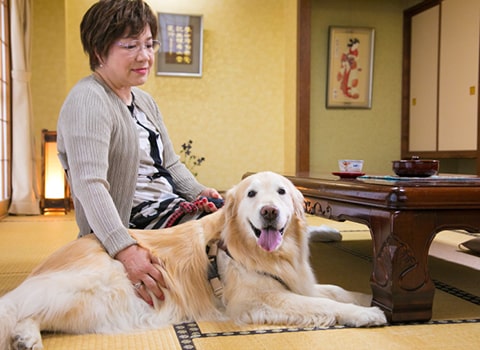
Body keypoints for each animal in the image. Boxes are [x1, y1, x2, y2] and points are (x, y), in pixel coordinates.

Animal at [0, 172, 386, 350]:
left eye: (280, 192)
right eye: (251, 194)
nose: (270, 212)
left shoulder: (299, 281)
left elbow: (336, 291)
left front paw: (371, 299)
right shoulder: (260, 300)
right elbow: (324, 304)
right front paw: (368, 314)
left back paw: (27, 338)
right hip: (89, 287)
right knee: (20, 307)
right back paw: (24, 334)